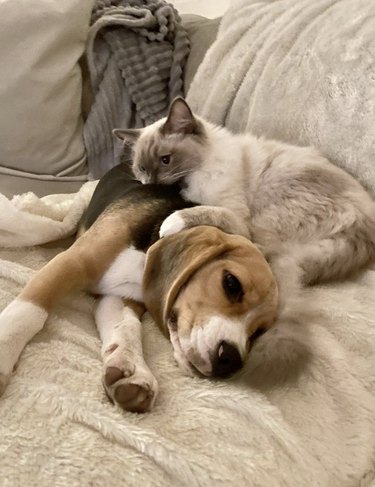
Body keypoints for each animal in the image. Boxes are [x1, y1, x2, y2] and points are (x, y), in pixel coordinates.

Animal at [0, 164, 278, 412]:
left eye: (259, 332)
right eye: (232, 284)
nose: (230, 360)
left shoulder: (119, 296)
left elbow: (127, 327)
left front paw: (130, 369)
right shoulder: (72, 262)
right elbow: (29, 312)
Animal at [114, 98, 375, 286]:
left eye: (166, 160)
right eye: (142, 168)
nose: (151, 183)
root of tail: (366, 227)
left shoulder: (233, 213)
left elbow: (205, 211)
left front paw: (169, 224)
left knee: (256, 246)